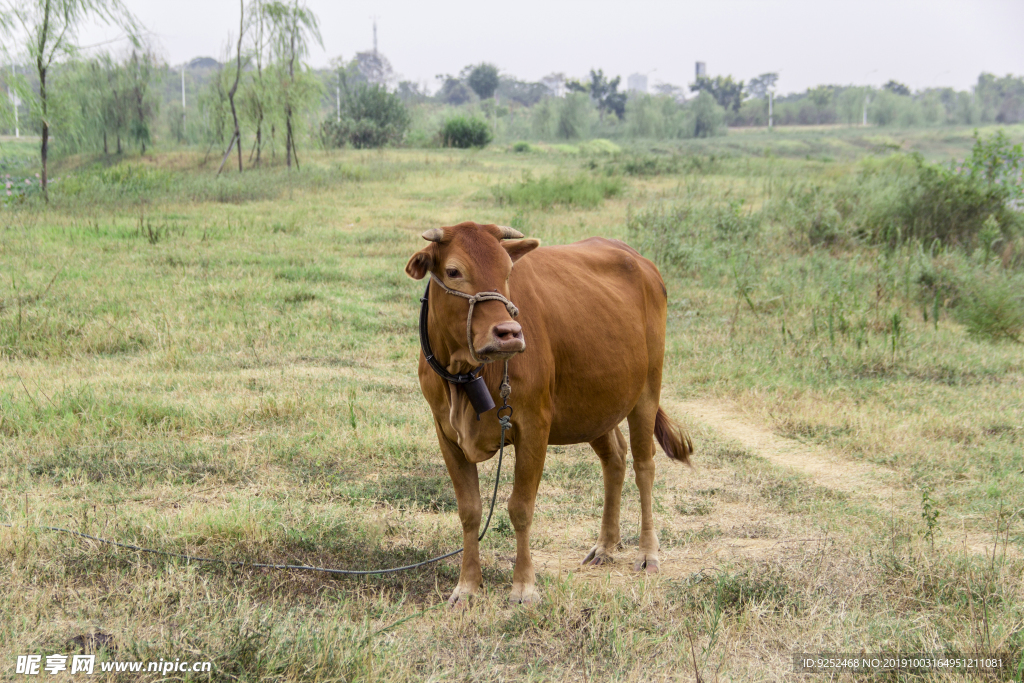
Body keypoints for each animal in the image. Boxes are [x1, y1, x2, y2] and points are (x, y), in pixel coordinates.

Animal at [403, 222, 692, 606]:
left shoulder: (534, 426)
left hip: (647, 389)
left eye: (508, 272)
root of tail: (640, 261)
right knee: (615, 458)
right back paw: (605, 546)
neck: (464, 377)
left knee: (645, 466)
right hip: (595, 404)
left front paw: (524, 586)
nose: (509, 334)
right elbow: (470, 511)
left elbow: (520, 507)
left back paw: (647, 552)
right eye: (453, 271)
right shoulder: (445, 433)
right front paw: (467, 587)